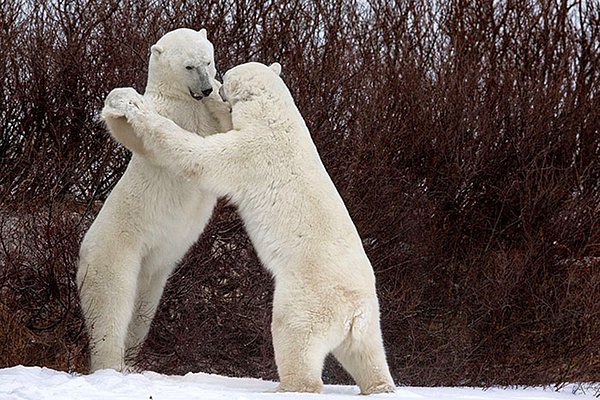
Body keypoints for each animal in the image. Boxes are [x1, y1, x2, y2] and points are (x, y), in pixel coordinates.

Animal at [76, 27, 231, 372]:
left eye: (208, 60)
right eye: (188, 66)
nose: (204, 88)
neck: (184, 100)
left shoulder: (205, 117)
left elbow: (229, 129)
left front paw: (222, 94)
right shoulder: (167, 112)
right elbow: (134, 131)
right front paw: (124, 100)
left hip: (155, 269)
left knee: (143, 310)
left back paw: (133, 359)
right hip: (115, 253)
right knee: (111, 306)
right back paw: (111, 363)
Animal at [102, 61, 394, 394]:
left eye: (227, 75)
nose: (216, 85)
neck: (277, 118)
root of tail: (354, 312)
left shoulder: (252, 152)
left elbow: (200, 157)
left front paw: (136, 109)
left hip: (307, 298)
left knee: (294, 335)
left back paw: (288, 386)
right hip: (370, 321)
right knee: (368, 354)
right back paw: (380, 385)